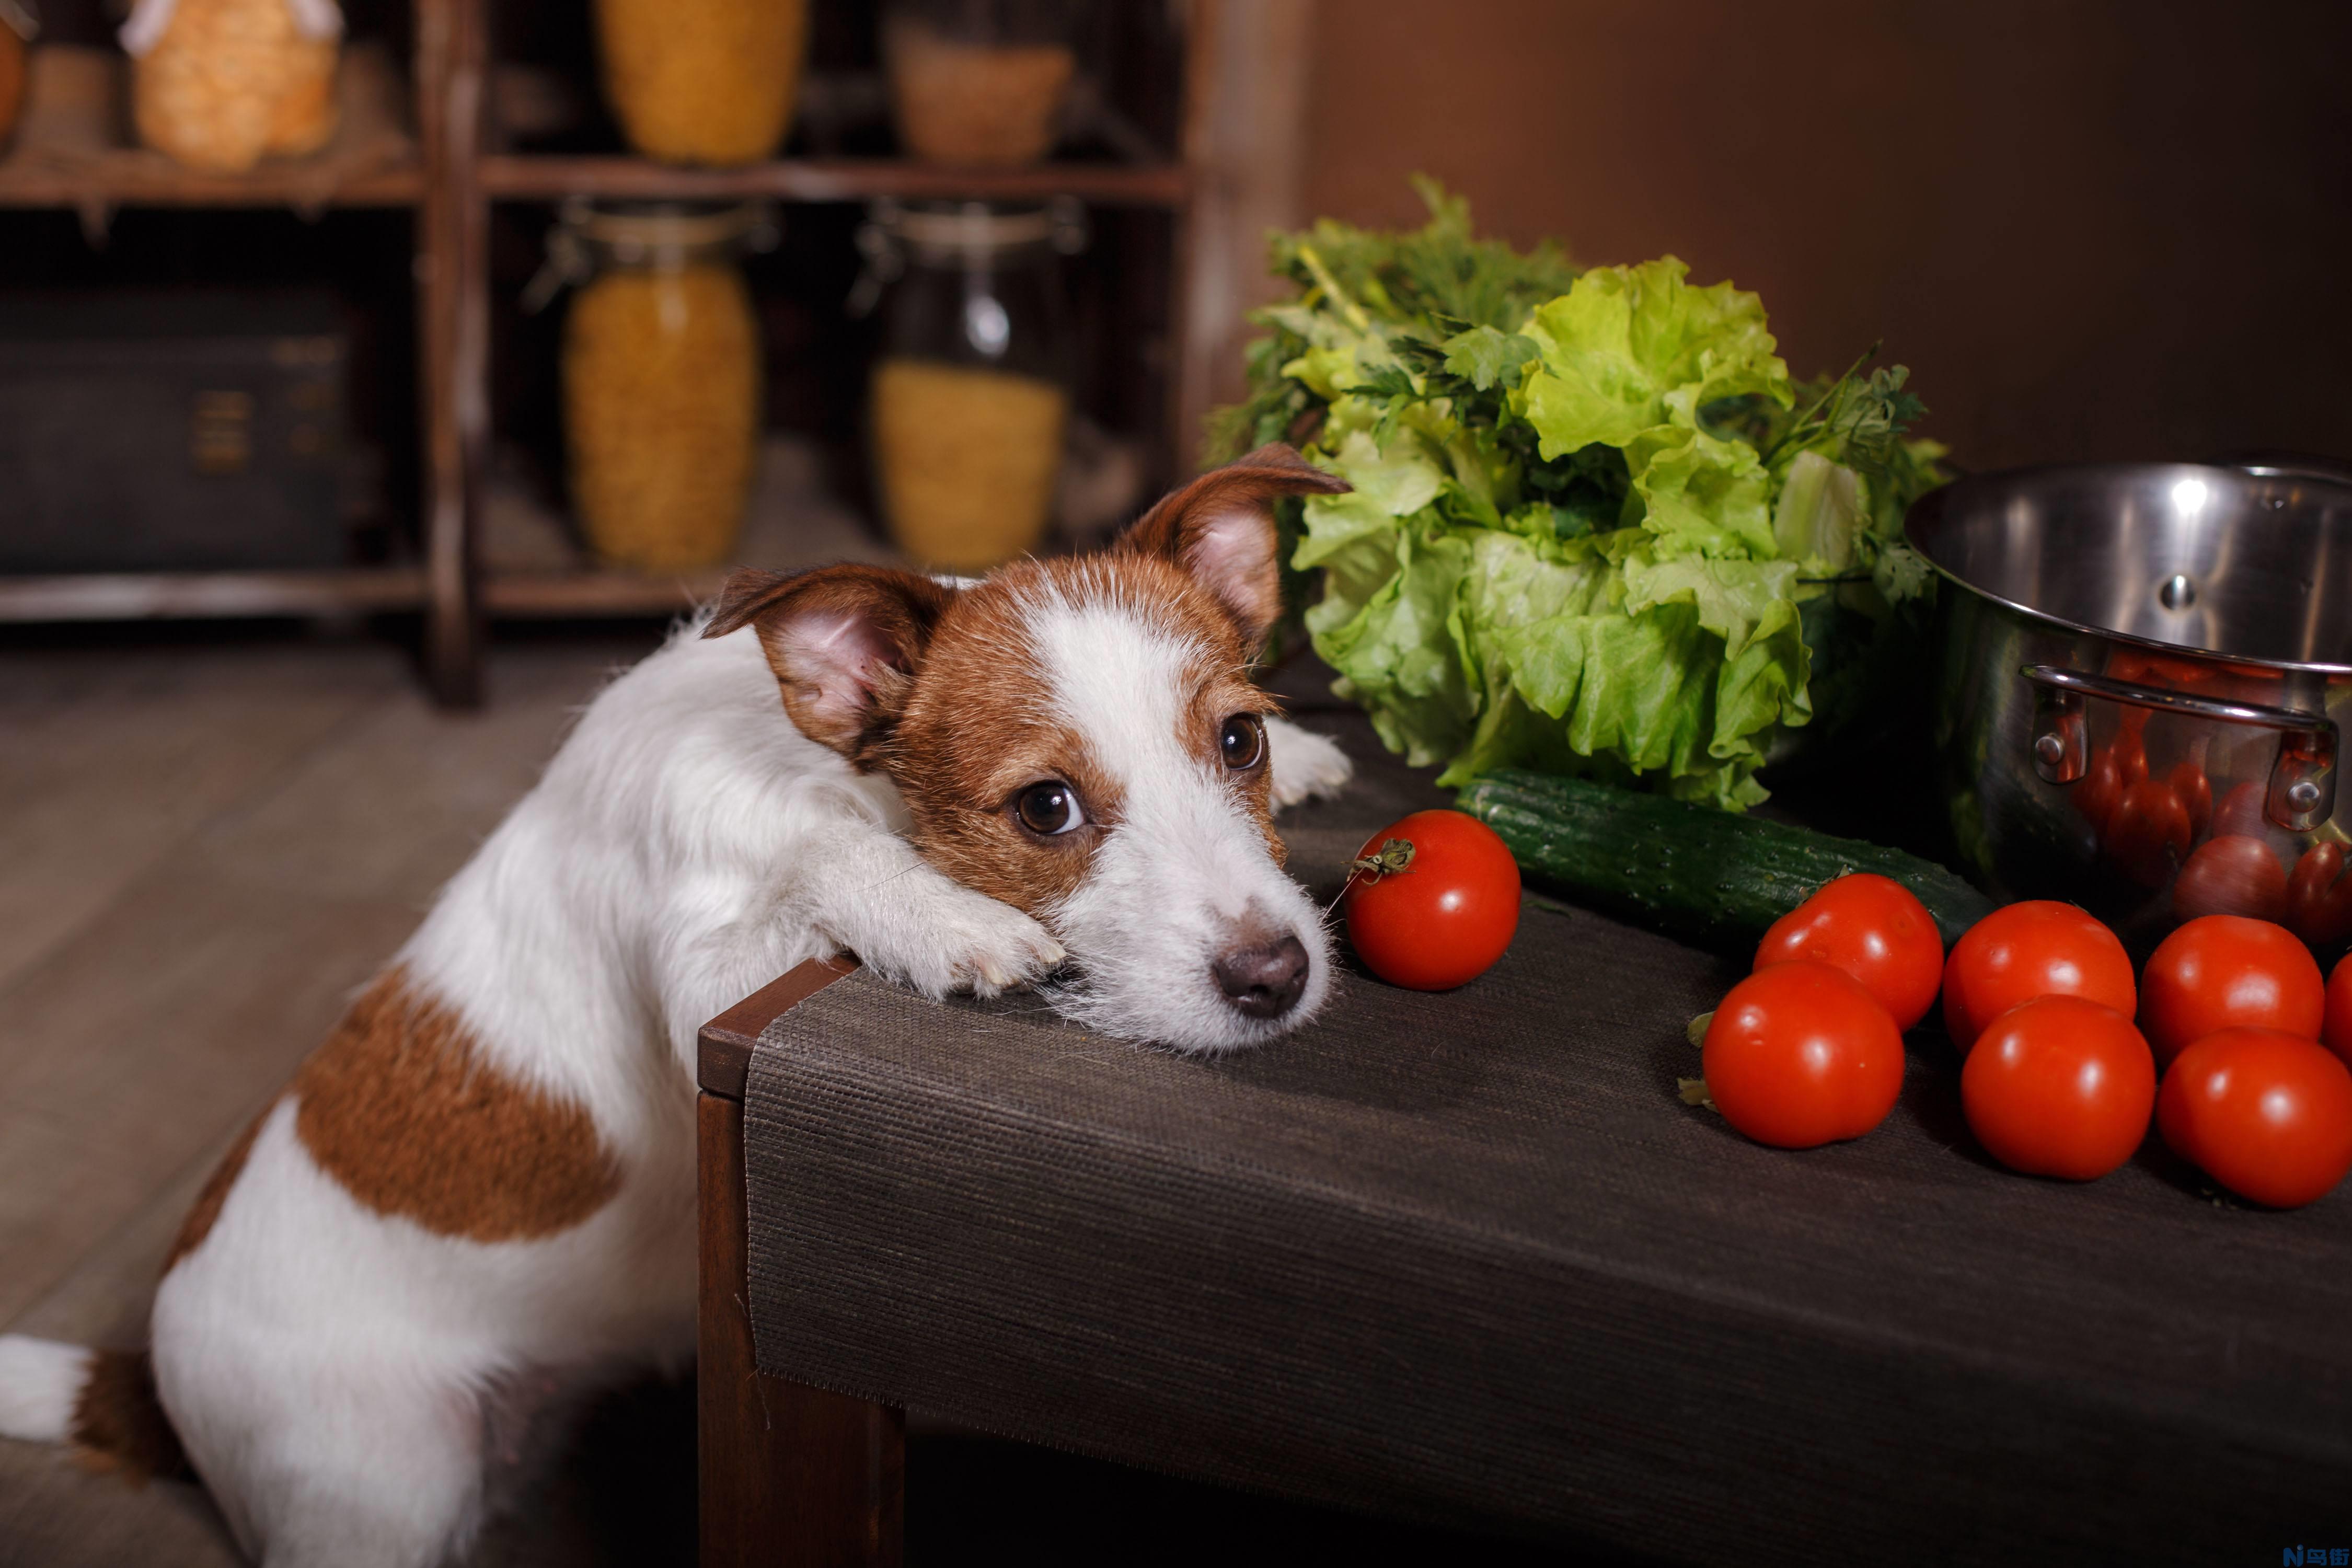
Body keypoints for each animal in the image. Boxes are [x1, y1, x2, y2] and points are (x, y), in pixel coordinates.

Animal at [0, 444, 1364, 1568]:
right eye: (1045, 809)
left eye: (1237, 740)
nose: (1276, 975)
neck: (808, 757)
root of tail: (151, 1372)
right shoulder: (710, 972)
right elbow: (814, 853)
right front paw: (939, 917)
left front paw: (1310, 762)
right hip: (378, 1483)